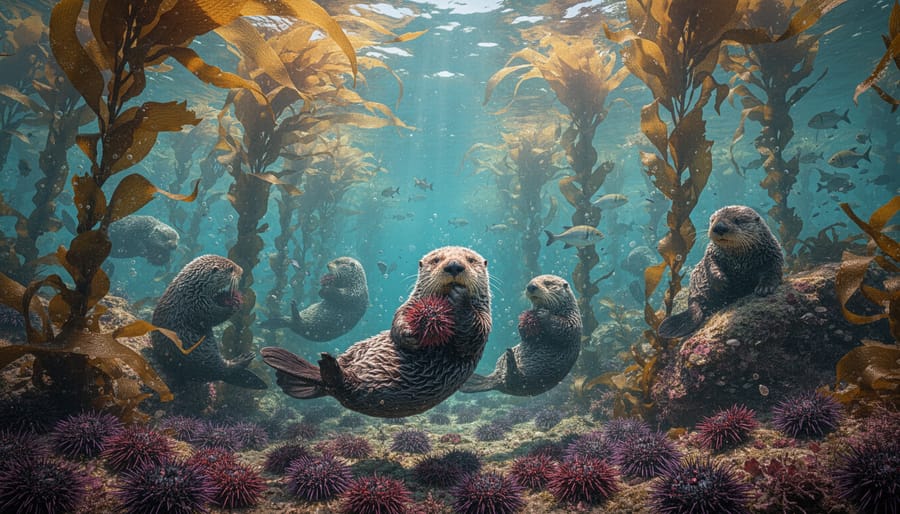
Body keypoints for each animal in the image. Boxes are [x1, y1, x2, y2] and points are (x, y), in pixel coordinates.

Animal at [149, 255, 267, 392]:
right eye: (231, 269)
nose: (242, 270)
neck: (193, 291)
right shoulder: (198, 308)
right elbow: (215, 317)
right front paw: (234, 304)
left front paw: (224, 295)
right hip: (202, 358)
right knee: (224, 370)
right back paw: (244, 359)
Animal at [262, 246, 492, 418]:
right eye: (436, 260)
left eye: (471, 260)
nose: (454, 265)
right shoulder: (407, 307)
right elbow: (397, 323)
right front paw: (409, 335)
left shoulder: (484, 321)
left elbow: (473, 335)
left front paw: (460, 298)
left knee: (342, 384)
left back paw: (322, 365)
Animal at [657, 205, 784, 339]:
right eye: (713, 220)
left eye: (737, 220)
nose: (719, 227)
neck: (740, 260)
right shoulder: (711, 253)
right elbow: (711, 266)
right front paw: (721, 281)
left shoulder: (772, 253)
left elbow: (772, 270)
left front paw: (765, 288)